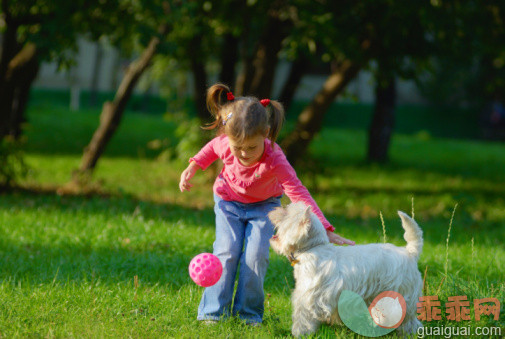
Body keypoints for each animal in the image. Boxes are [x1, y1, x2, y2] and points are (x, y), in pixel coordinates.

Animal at [270, 203, 424, 338]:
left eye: (286, 213)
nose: (275, 208)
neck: (312, 248)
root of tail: (410, 253)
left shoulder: (307, 299)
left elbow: (302, 320)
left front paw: (299, 334)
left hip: (400, 295)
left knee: (410, 322)